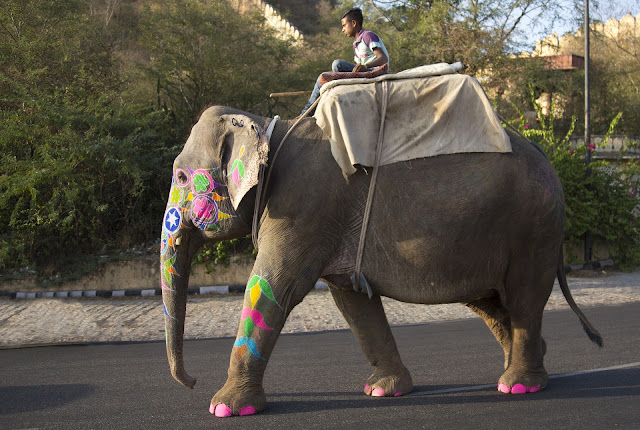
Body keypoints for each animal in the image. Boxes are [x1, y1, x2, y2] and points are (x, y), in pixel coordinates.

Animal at [159, 106, 600, 418]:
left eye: (180, 178)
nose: (191, 381)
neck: (266, 126)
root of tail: (545, 155)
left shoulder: (304, 208)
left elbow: (271, 287)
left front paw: (224, 408)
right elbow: (352, 301)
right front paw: (382, 390)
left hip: (534, 228)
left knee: (523, 298)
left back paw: (519, 385)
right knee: (490, 303)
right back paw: (525, 366)